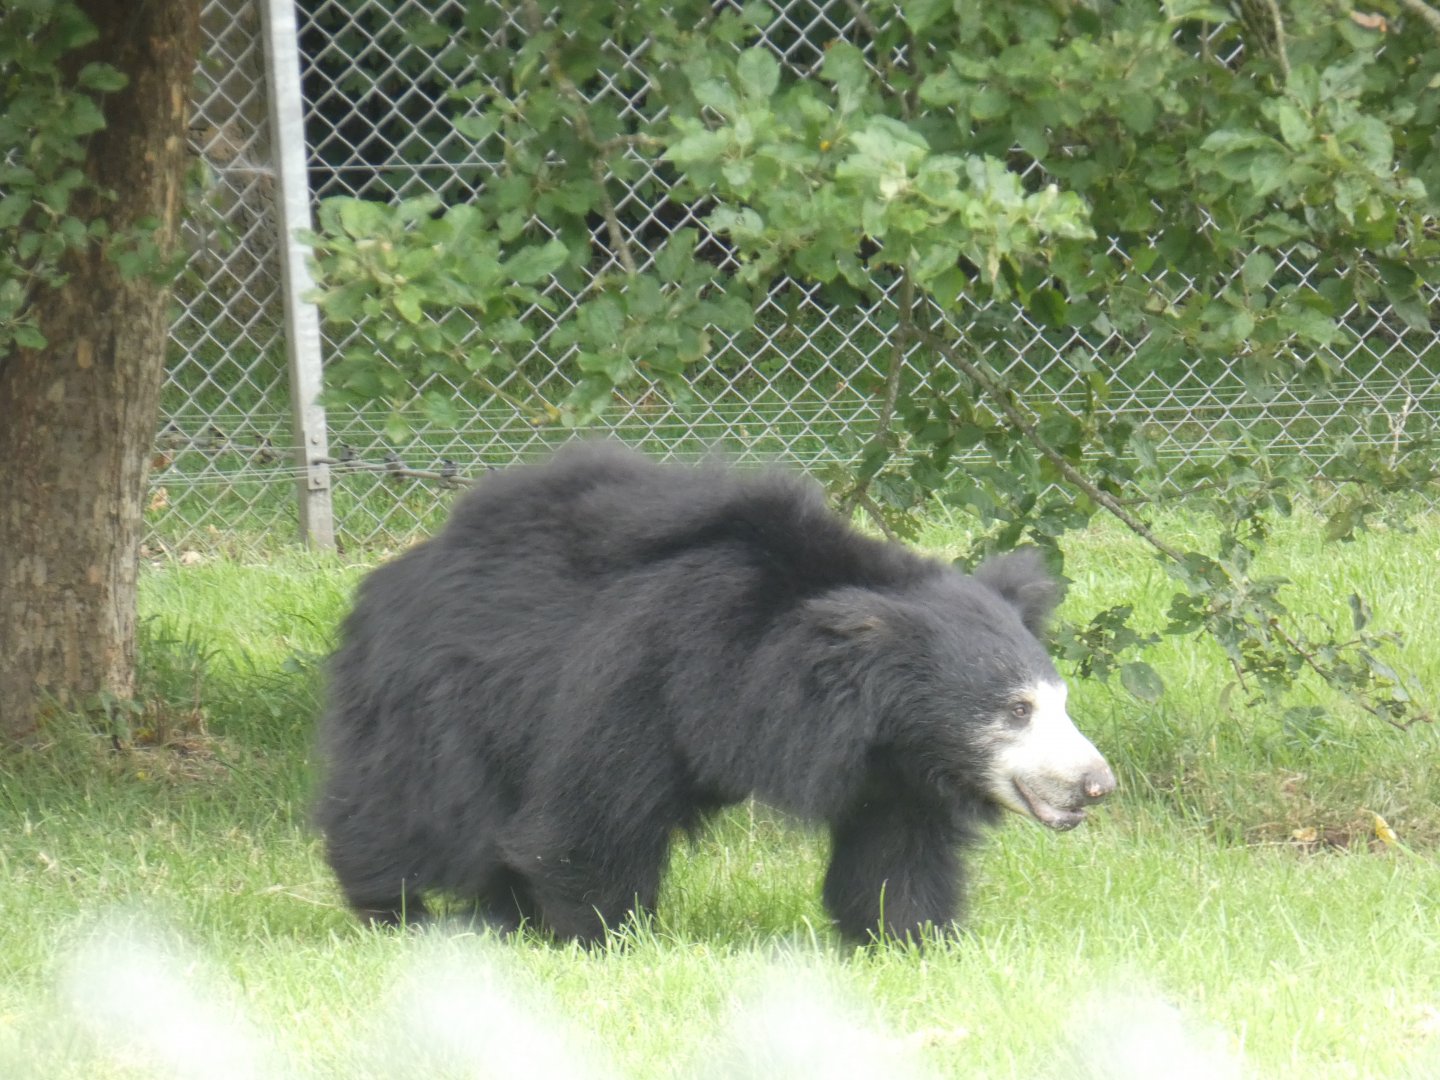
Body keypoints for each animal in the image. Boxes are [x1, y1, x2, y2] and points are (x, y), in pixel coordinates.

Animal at [315, 442, 1115, 944]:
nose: (1097, 783)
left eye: (1060, 701)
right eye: (1016, 710)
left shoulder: (896, 766)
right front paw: (603, 940)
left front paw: (914, 939)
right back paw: (394, 911)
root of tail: (384, 584)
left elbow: (897, 854)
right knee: (417, 815)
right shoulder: (647, 677)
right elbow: (588, 817)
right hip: (439, 703)